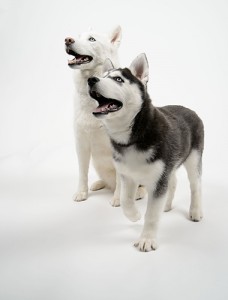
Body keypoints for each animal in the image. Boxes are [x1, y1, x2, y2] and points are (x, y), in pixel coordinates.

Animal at [88, 53, 204, 251]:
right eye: (103, 76)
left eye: (118, 79)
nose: (91, 80)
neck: (133, 138)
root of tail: (190, 109)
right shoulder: (128, 175)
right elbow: (125, 200)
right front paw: (134, 215)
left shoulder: (158, 181)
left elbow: (151, 215)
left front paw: (147, 239)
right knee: (173, 182)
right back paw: (166, 205)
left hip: (194, 159)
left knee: (195, 186)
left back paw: (195, 211)